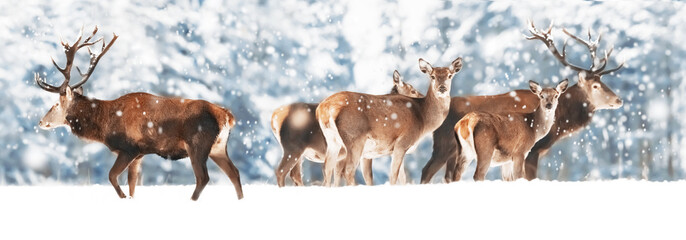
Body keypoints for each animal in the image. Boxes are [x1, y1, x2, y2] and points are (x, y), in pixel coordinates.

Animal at [37, 27, 245, 201]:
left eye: (55, 104)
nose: (40, 122)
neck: (105, 125)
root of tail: (227, 116)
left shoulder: (129, 148)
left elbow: (112, 176)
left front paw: (123, 198)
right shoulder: (139, 154)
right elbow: (132, 185)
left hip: (197, 143)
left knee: (203, 177)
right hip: (218, 147)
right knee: (234, 172)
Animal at [272, 70, 424, 187]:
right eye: (412, 90)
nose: (422, 97)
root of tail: (274, 117)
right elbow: (367, 178)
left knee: (295, 174)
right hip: (293, 147)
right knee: (282, 171)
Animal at [320, 57, 464, 186]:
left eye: (450, 75)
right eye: (432, 76)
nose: (442, 88)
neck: (423, 120)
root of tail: (326, 108)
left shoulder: (386, 151)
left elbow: (401, 178)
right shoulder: (402, 142)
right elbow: (393, 175)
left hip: (333, 141)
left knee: (327, 168)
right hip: (354, 139)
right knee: (348, 170)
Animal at [422, 21, 628, 183]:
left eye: (602, 81)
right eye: (596, 86)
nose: (619, 100)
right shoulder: (530, 151)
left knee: (448, 175)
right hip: (444, 144)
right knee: (428, 170)